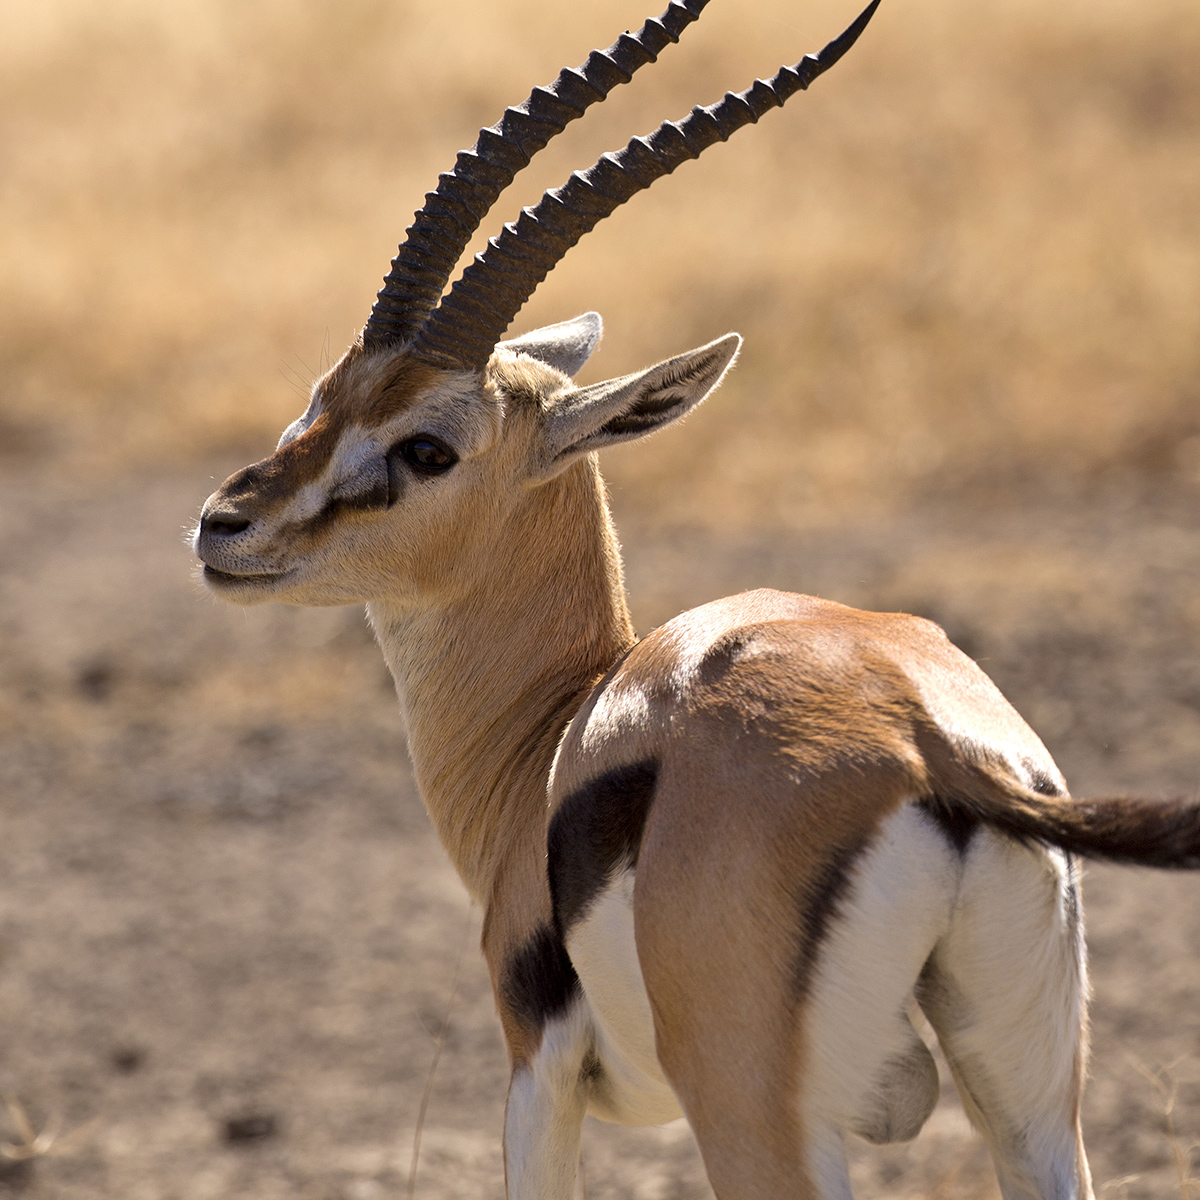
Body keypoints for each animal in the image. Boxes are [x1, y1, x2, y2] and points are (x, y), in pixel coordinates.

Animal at [193, 2, 1200, 1197]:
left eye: (426, 447)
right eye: (326, 392)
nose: (225, 525)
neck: (553, 736)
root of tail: (924, 744)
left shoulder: (536, 1078)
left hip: (755, 1117)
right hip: (1033, 1103)